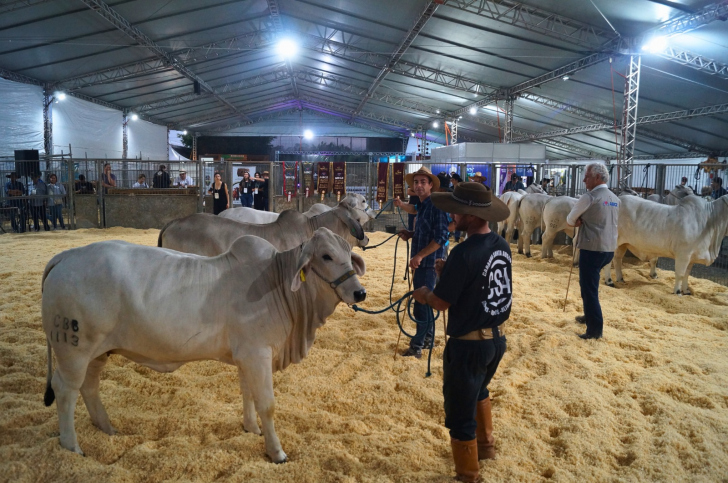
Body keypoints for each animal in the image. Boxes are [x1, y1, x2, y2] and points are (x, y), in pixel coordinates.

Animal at [42, 229, 366, 464]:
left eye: (348, 255)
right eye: (325, 256)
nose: (359, 292)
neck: (279, 285)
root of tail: (66, 256)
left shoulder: (246, 356)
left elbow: (247, 393)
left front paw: (251, 429)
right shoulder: (258, 353)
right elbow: (267, 404)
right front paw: (277, 452)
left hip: (98, 351)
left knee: (90, 386)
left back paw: (108, 429)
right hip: (74, 350)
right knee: (65, 389)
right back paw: (72, 446)